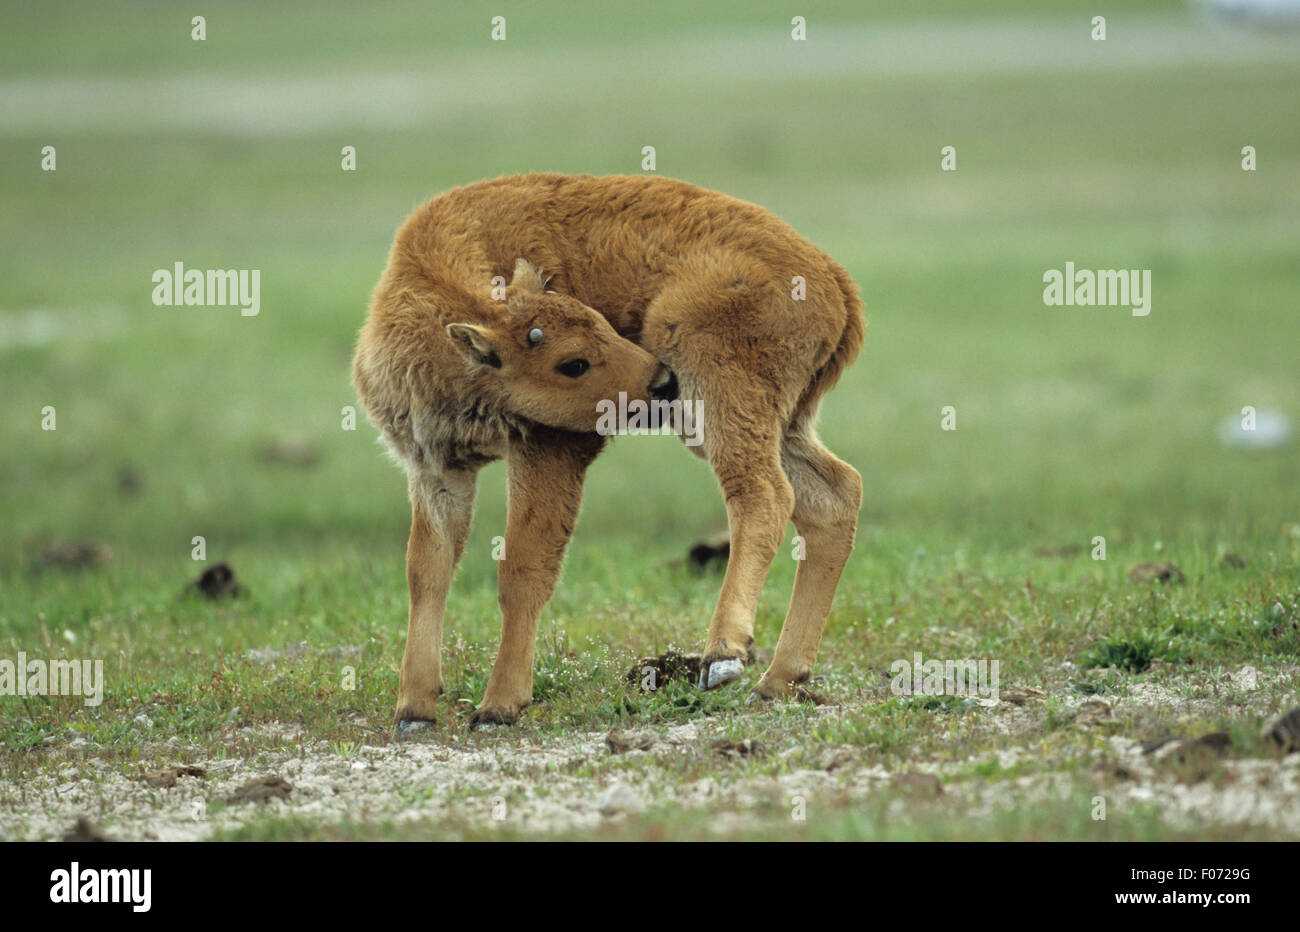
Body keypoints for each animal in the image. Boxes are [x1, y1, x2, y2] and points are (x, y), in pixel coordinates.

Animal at [356, 170, 863, 733]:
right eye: (573, 361)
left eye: (602, 324)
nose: (663, 382)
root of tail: (834, 281)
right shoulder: (437, 468)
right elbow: (427, 571)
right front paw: (413, 710)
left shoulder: (550, 450)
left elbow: (522, 569)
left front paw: (498, 706)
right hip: (779, 423)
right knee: (833, 496)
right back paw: (777, 682)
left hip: (719, 401)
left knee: (764, 496)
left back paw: (722, 657)